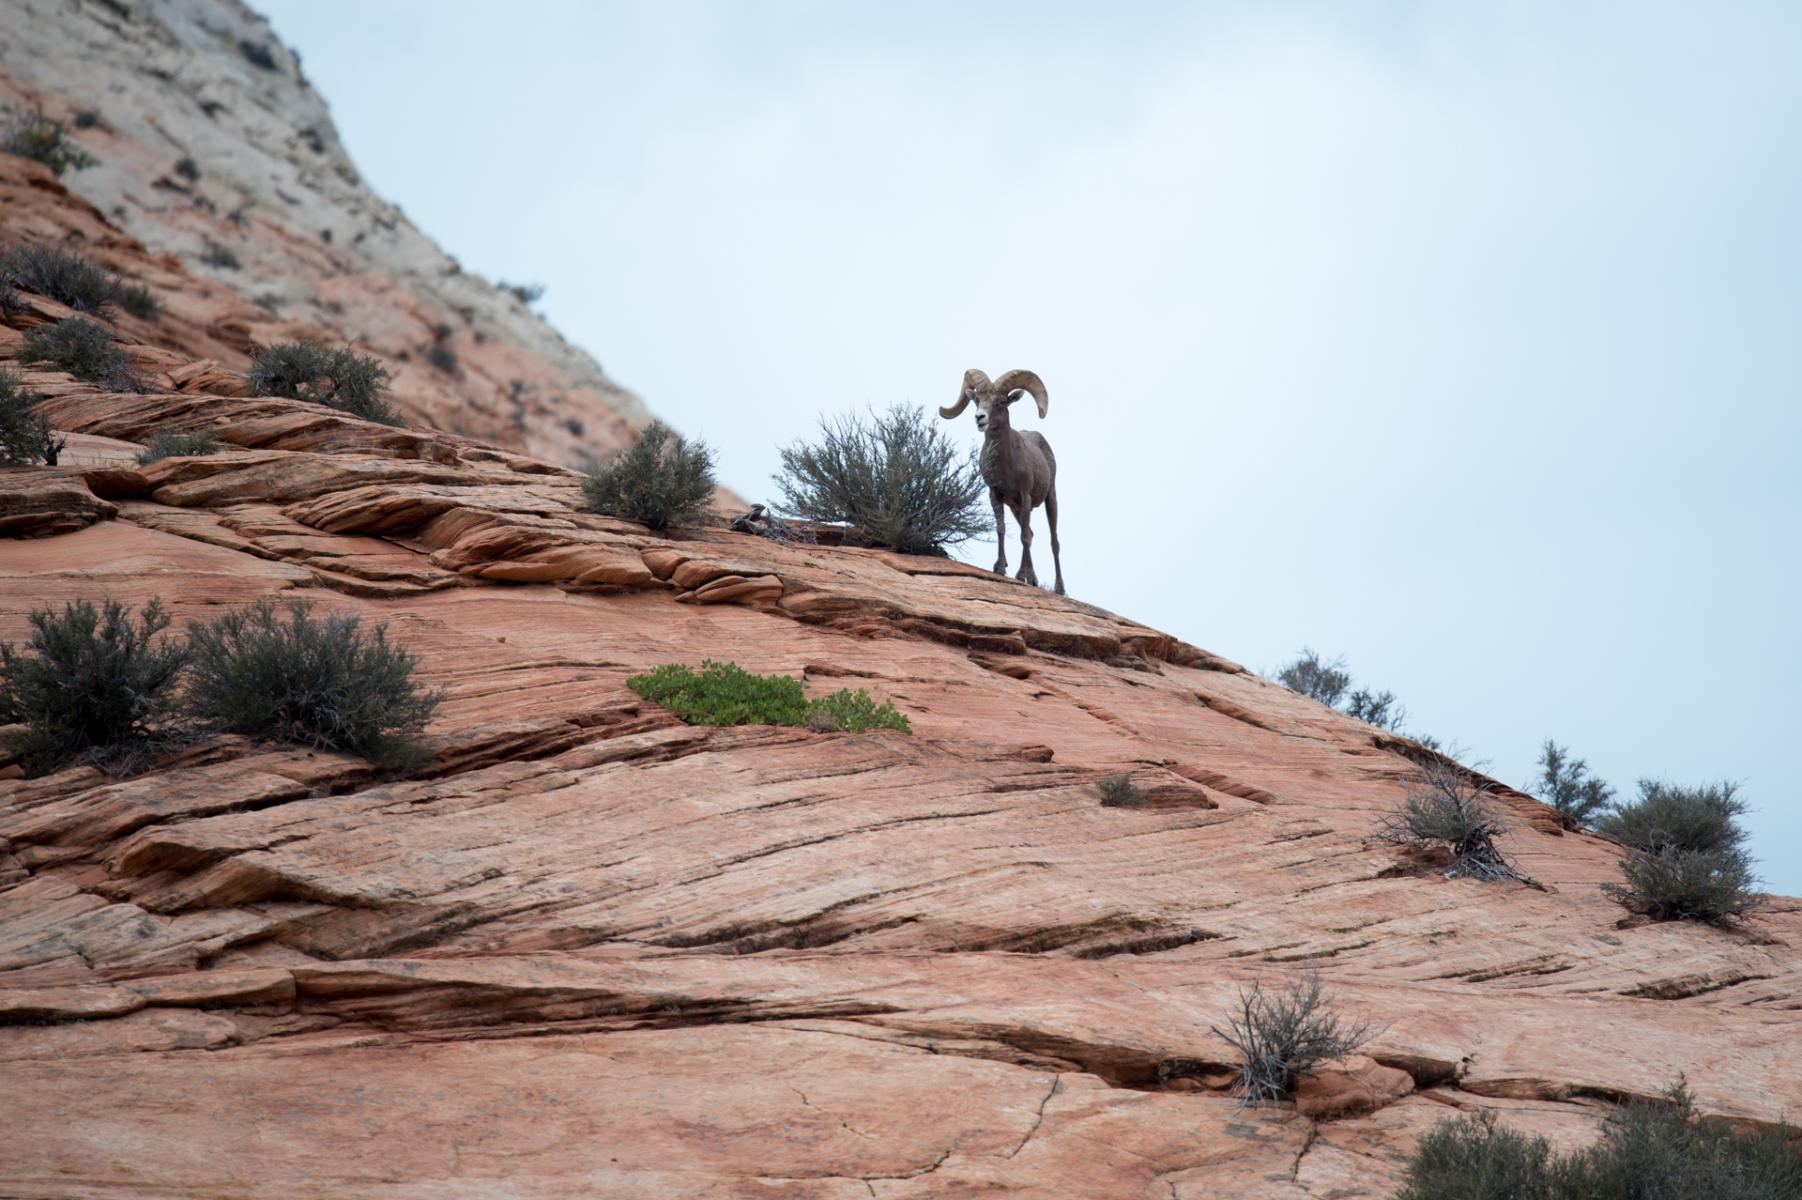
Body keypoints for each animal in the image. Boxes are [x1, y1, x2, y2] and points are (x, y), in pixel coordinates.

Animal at [937, 362, 1059, 590]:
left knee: (1053, 541)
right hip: (1016, 509)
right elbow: (1001, 529)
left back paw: (1059, 589)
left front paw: (1023, 576)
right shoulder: (996, 495)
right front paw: (1001, 568)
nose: (980, 417)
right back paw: (1032, 579)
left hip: (1050, 499)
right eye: (977, 399)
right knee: (1031, 533)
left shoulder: (1025, 495)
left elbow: (1023, 537)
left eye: (1001, 402)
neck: (1005, 465)